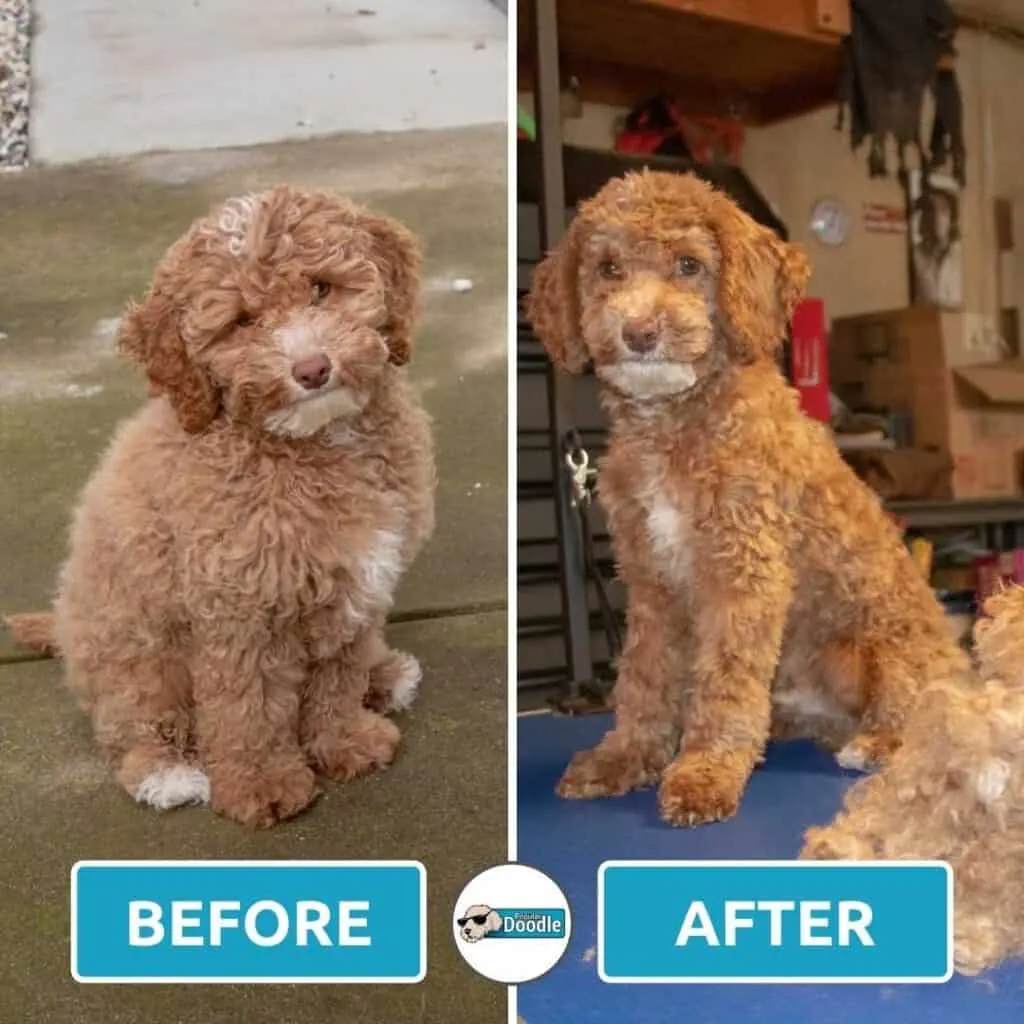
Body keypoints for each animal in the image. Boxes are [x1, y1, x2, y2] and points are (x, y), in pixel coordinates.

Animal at [6, 186, 436, 823]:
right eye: (240, 323)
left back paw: (384, 675)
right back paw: (167, 774)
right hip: (134, 658)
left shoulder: (356, 586)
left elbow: (337, 674)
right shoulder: (240, 607)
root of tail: (61, 623)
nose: (312, 369)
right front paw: (262, 783)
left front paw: (346, 741)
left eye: (320, 288)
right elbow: (248, 706)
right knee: (132, 730)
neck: (316, 444)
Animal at [528, 167, 966, 823]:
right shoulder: (651, 584)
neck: (674, 423)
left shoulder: (743, 572)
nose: (639, 333)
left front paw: (705, 771)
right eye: (608, 269)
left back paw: (874, 744)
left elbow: (725, 680)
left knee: (915, 712)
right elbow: (643, 678)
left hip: (875, 648)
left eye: (689, 264)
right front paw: (626, 757)